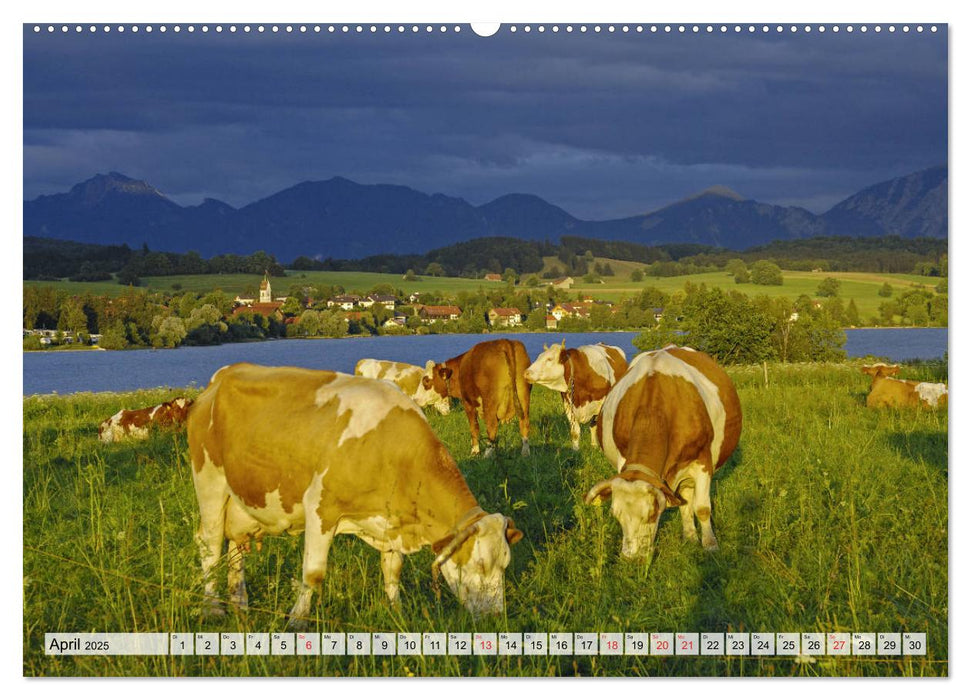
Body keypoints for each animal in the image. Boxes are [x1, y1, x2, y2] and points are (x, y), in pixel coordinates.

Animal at [189, 364, 524, 628]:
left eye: (505, 565)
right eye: (481, 564)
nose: (496, 619)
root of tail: (222, 376)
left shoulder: (391, 521)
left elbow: (393, 571)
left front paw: (397, 614)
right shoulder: (320, 509)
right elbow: (313, 574)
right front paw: (297, 622)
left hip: (242, 501)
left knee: (236, 549)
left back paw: (240, 606)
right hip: (210, 483)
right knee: (210, 544)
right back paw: (212, 608)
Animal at [584, 346, 744, 564]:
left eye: (652, 514)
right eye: (616, 514)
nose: (632, 558)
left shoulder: (702, 463)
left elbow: (702, 508)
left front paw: (711, 545)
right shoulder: (623, 461)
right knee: (685, 500)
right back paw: (690, 536)